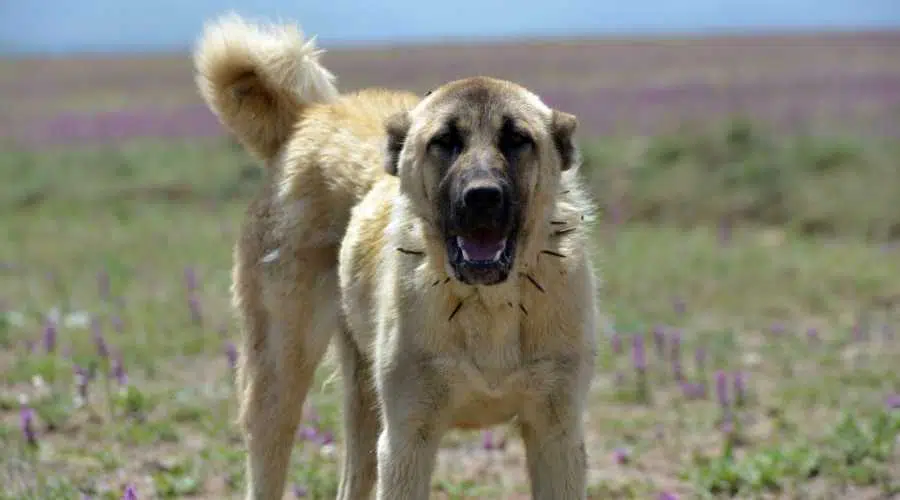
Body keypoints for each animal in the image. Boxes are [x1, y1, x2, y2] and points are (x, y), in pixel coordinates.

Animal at [194, 12, 600, 500]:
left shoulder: (556, 434)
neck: (488, 306)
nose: (482, 196)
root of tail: (310, 116)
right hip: (278, 379)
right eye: (445, 141)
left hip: (362, 399)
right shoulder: (408, 439)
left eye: (517, 139)